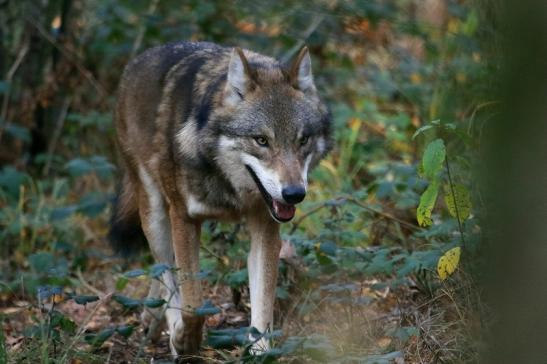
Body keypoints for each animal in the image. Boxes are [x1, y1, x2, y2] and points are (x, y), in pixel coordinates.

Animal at [109, 41, 332, 356]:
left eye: (303, 140)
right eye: (261, 140)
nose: (294, 194)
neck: (231, 188)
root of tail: (142, 57)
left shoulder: (266, 226)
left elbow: (263, 304)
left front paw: (261, 353)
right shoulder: (184, 218)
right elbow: (192, 302)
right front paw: (185, 339)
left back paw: (151, 318)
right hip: (155, 211)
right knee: (164, 269)